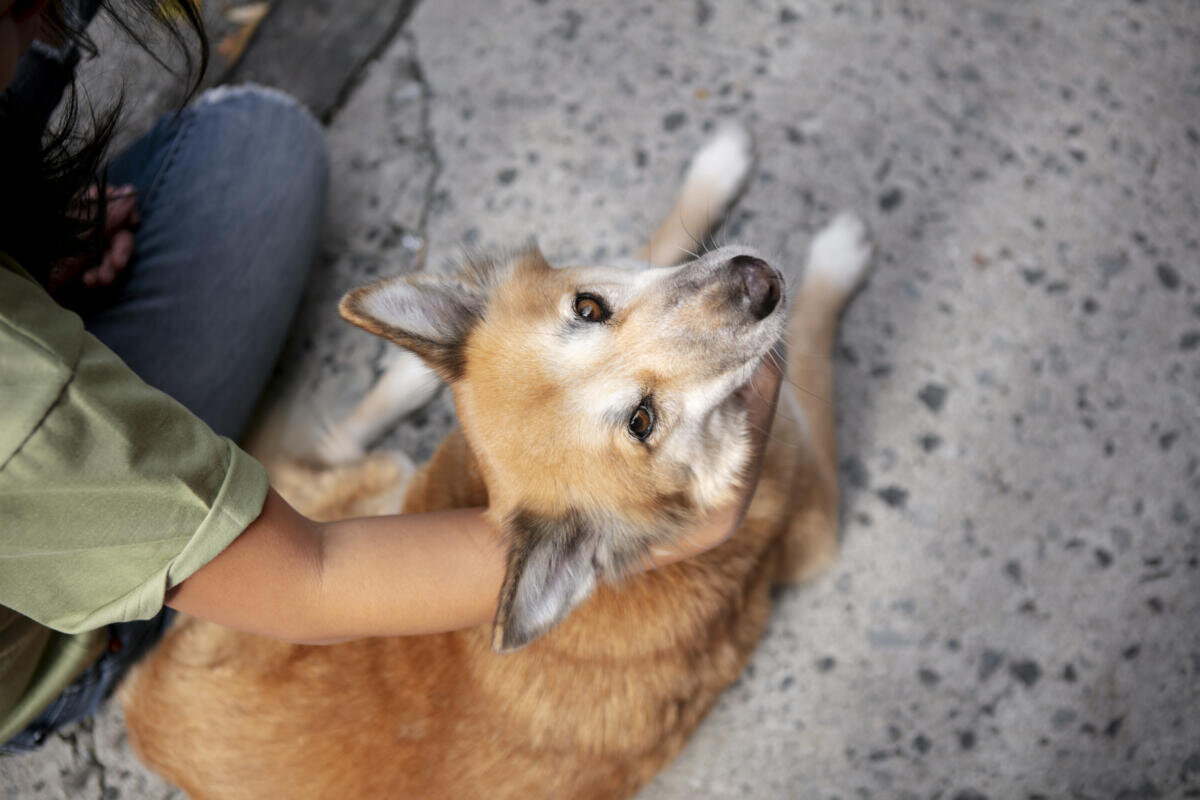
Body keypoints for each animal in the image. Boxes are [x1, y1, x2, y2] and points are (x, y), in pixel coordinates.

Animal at [119, 131, 873, 800]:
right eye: (642, 421)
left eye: (588, 306)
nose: (757, 281)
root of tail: (143, 718)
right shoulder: (816, 523)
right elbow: (810, 344)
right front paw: (834, 256)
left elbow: (657, 244)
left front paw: (713, 175)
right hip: (386, 474)